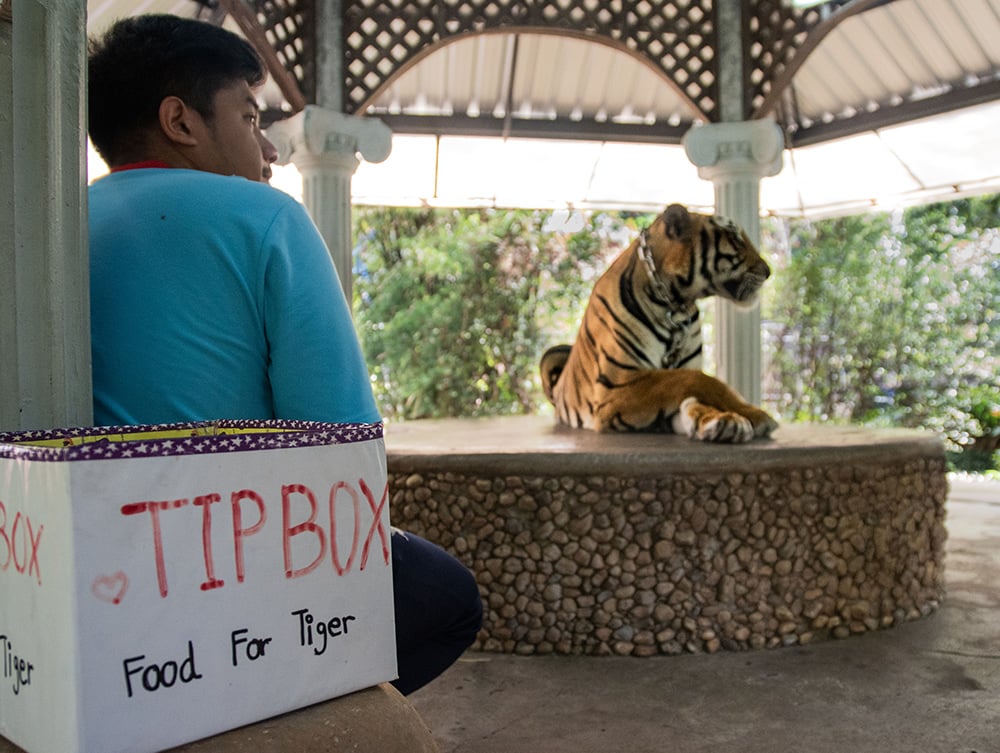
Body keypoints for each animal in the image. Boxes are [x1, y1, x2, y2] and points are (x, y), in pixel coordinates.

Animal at [544, 203, 776, 444]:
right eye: (735, 237)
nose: (768, 272)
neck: (675, 306)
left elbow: (692, 397)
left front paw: (725, 420)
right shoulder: (615, 386)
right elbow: (695, 379)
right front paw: (754, 414)